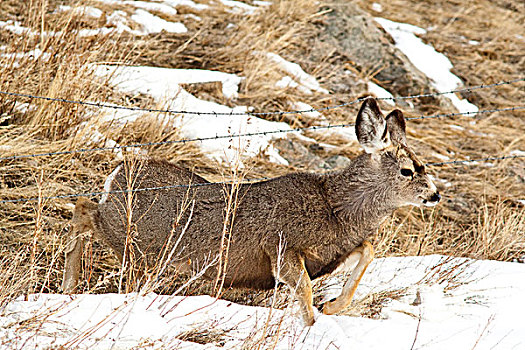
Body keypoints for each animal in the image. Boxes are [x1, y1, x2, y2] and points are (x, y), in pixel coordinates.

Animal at [61, 98, 438, 326]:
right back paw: (68, 285)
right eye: (407, 170)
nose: (434, 195)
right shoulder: (282, 246)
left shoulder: (334, 253)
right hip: (134, 239)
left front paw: (332, 306)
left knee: (84, 208)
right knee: (83, 209)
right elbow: (303, 290)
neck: (337, 209)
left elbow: (368, 251)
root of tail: (117, 173)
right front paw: (314, 325)